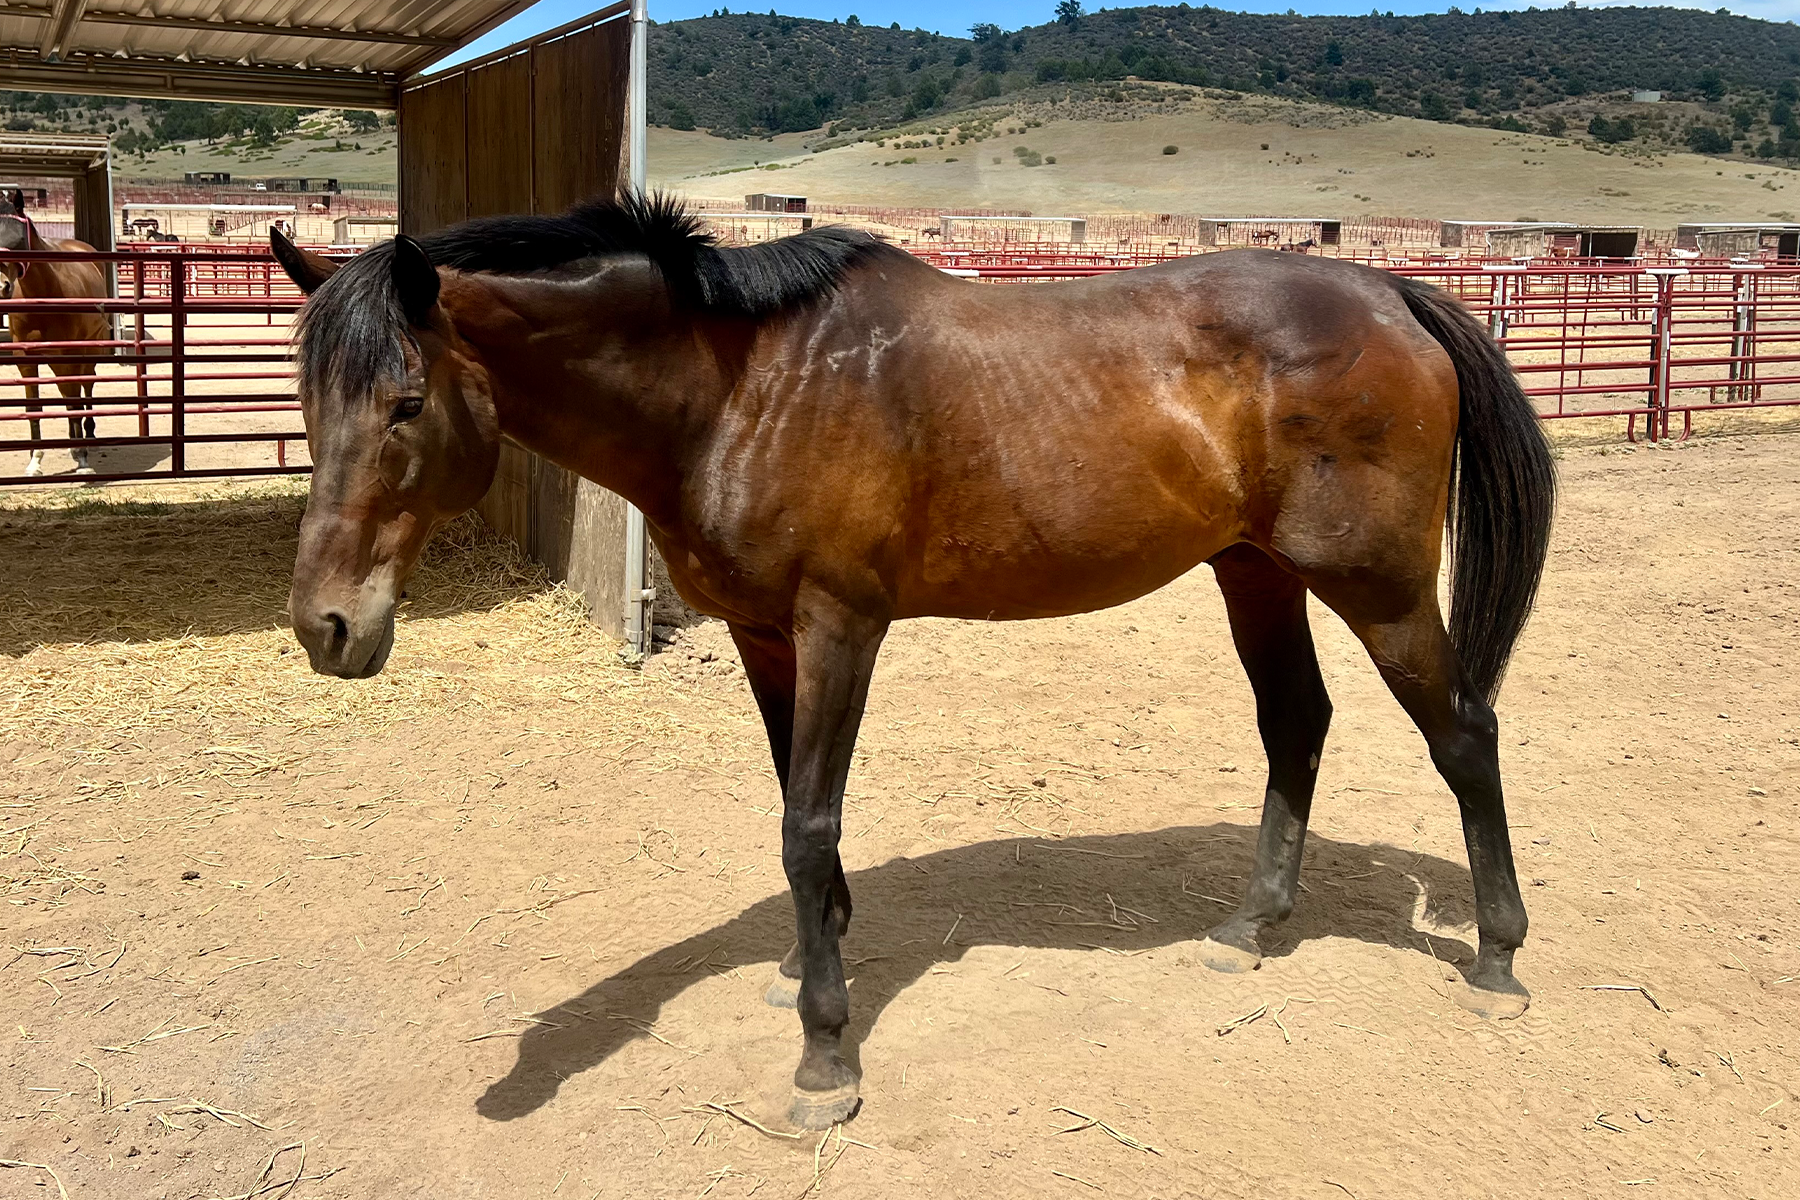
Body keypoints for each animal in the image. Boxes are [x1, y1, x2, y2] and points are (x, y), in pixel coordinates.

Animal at [0, 205, 111, 476]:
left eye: (19, 239)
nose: (2, 285)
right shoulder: (25, 359)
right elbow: (34, 409)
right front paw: (35, 461)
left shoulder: (67, 354)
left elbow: (73, 400)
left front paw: (82, 459)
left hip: (89, 350)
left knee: (85, 386)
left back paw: (87, 436)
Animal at [270, 194, 1555, 1129]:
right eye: (311, 402)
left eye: (406, 400)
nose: (325, 627)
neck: (740, 389)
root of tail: (1390, 293)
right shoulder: (764, 636)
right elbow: (794, 807)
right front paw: (810, 967)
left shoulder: (841, 625)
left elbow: (808, 825)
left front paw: (825, 1060)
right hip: (1257, 572)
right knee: (1297, 722)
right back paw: (1250, 929)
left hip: (1378, 586)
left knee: (1464, 733)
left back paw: (1496, 957)